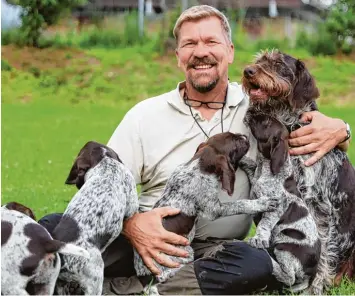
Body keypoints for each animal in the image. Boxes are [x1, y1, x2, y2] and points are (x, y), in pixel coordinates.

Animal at [134, 132, 280, 284]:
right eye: (235, 142)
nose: (244, 136)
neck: (199, 165)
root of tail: (144, 275)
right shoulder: (214, 208)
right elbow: (240, 204)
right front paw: (262, 203)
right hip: (185, 253)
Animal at [242, 111, 322, 292]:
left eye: (265, 121)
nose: (251, 112)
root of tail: (311, 275)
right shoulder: (255, 181)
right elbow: (250, 165)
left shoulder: (275, 206)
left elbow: (264, 223)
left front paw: (258, 238)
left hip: (284, 245)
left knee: (289, 277)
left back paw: (271, 260)